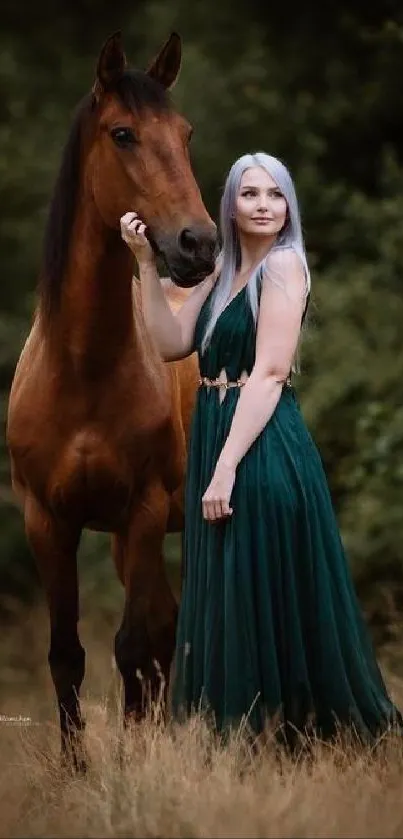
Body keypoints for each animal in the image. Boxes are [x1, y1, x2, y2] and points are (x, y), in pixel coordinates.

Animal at [6, 31, 216, 768]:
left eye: (185, 134)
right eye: (123, 133)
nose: (198, 243)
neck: (84, 369)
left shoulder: (142, 510)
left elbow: (132, 646)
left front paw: (130, 763)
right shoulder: (47, 521)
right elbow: (66, 651)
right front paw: (77, 769)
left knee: (158, 635)